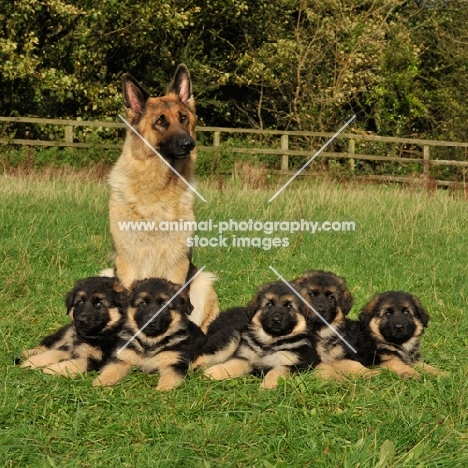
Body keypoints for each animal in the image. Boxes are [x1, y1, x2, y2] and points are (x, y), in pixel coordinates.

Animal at [105, 64, 218, 332]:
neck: (158, 190)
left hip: (203, 281)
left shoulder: (178, 263)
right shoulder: (127, 263)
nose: (189, 144)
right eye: (160, 122)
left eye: (183, 118)